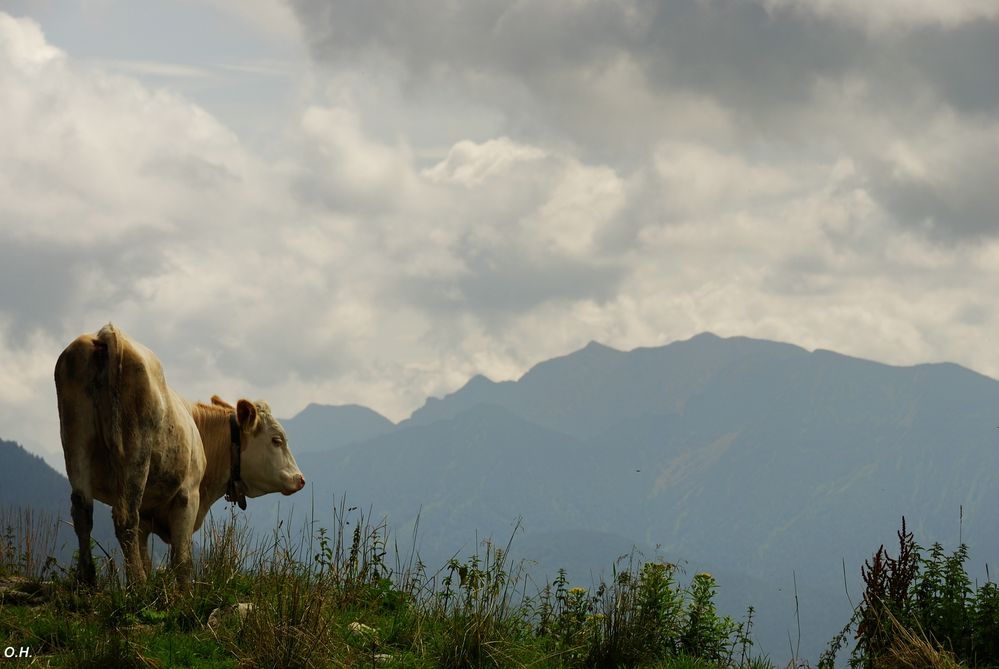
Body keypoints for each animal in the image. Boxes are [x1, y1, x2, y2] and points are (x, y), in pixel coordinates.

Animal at [53, 324, 304, 584]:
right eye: (277, 440)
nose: (300, 479)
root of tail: (109, 333)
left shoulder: (148, 516)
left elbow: (148, 558)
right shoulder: (187, 496)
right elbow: (182, 561)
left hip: (75, 442)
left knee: (83, 512)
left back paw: (87, 579)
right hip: (135, 452)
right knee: (124, 518)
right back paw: (137, 584)